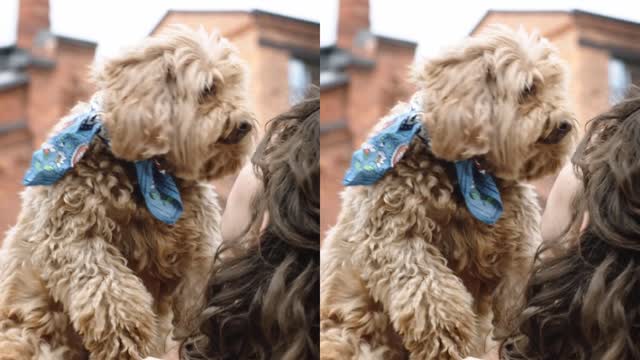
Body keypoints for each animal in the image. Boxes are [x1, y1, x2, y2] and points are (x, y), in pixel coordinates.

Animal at [0, 26, 255, 358]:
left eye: (236, 86)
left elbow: (200, 290)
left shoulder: (198, 246)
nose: (246, 124)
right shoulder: (76, 239)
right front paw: (128, 339)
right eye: (208, 89)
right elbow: (111, 291)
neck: (148, 172)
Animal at [322, 26, 576, 360]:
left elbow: (518, 292)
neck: (468, 172)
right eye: (528, 89)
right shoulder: (397, 239)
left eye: (556, 86)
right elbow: (432, 293)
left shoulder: (519, 245)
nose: (565, 124)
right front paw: (449, 340)